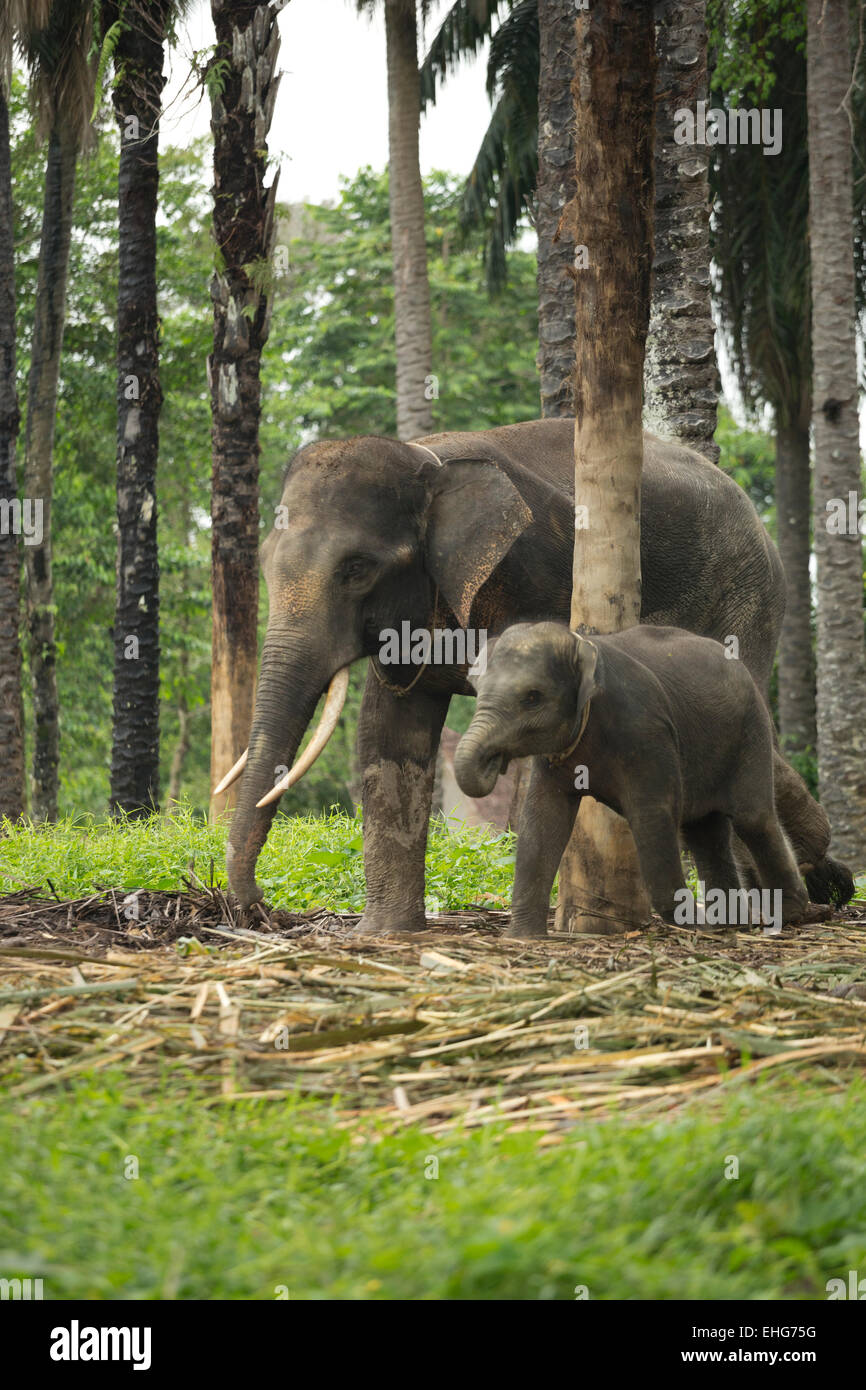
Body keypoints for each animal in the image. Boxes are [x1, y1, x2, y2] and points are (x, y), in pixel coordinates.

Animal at [458, 625, 811, 939]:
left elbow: (653, 815)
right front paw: (523, 937)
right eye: (476, 689)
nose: (494, 762)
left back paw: (791, 916)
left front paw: (692, 925)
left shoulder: (646, 731)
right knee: (704, 831)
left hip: (752, 729)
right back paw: (730, 925)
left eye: (532, 697)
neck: (584, 645)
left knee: (754, 819)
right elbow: (543, 820)